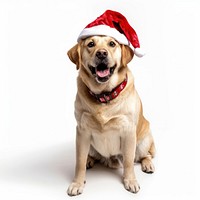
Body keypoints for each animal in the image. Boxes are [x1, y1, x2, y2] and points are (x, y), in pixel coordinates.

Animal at [66, 35, 155, 195]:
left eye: (112, 44)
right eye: (91, 44)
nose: (101, 53)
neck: (104, 96)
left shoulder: (128, 132)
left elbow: (128, 162)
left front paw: (130, 181)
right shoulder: (82, 131)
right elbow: (79, 161)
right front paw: (77, 183)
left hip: (144, 140)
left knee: (146, 155)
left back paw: (148, 165)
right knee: (91, 155)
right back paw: (90, 160)